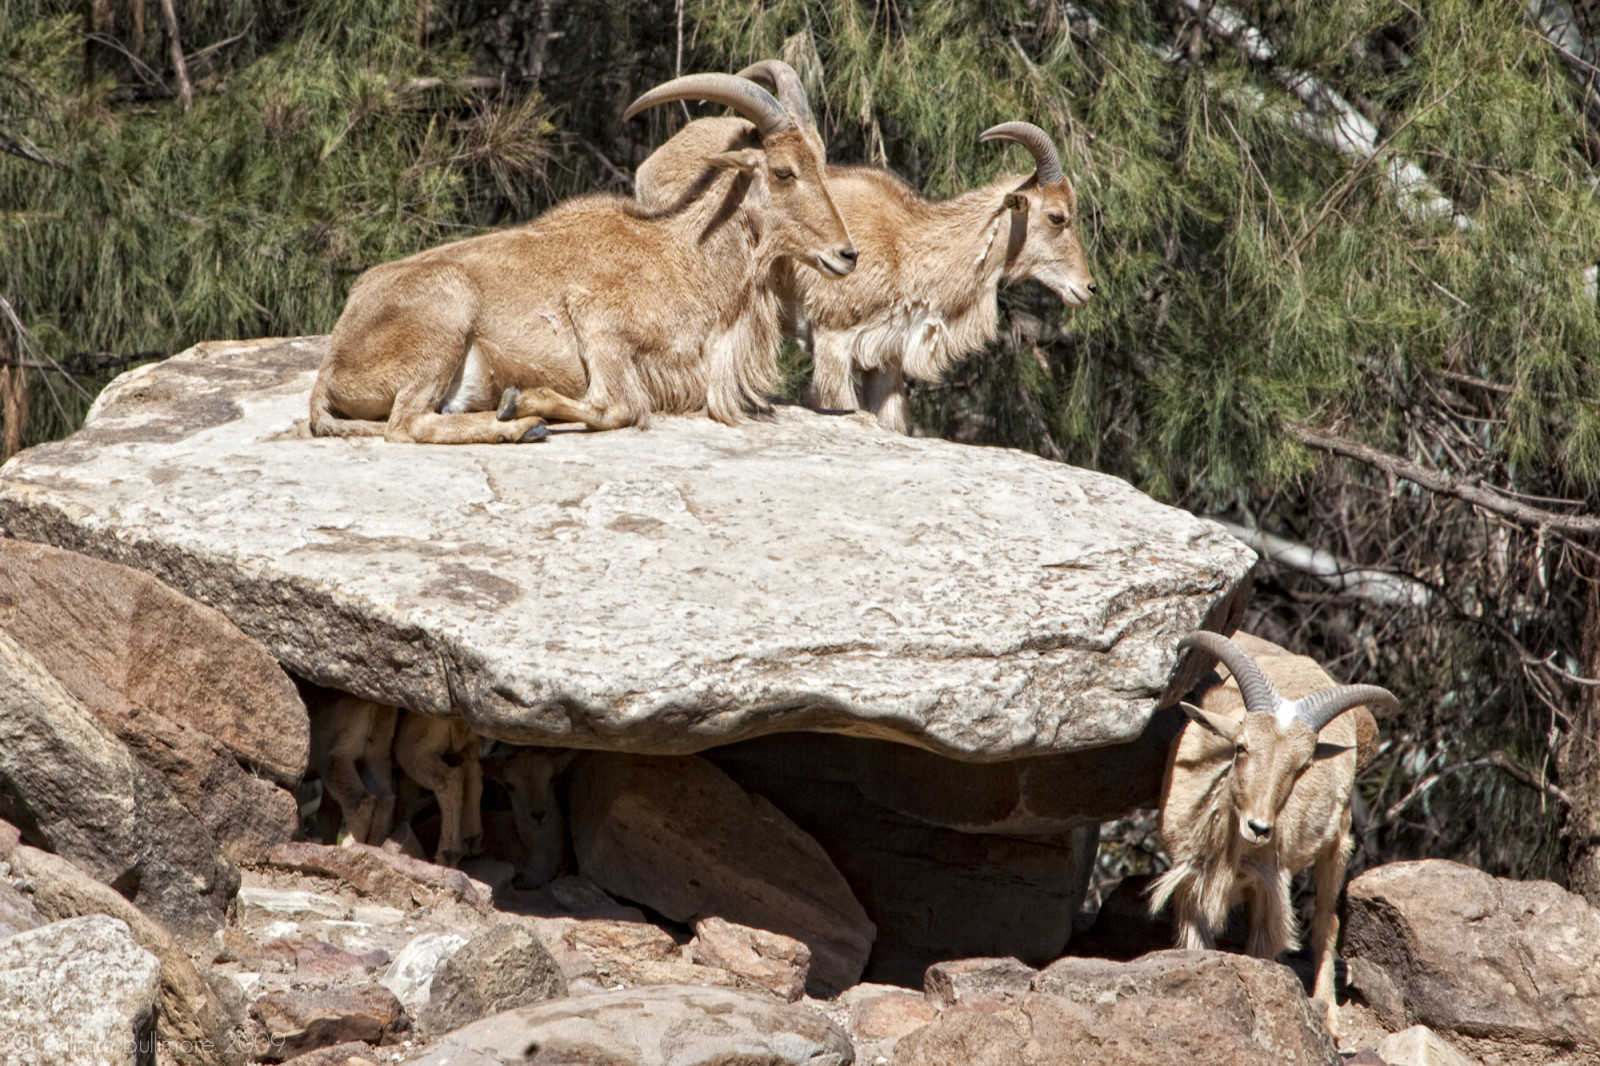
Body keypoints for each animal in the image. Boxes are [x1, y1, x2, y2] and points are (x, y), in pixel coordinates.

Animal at [308, 71, 856, 443]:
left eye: (822, 160)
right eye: (783, 171)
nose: (847, 254)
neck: (685, 256)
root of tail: (331, 367)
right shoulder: (598, 319)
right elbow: (619, 408)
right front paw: (526, 399)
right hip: (445, 317)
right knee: (408, 424)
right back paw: (521, 423)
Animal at [635, 62, 1095, 434]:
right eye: (1057, 216)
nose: (1088, 287)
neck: (909, 244)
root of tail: (654, 160)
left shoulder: (886, 359)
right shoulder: (833, 340)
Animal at [1148, 630, 1398, 1033]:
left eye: (1302, 766)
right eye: (1240, 746)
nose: (1259, 827)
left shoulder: (1270, 886)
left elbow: (1266, 949)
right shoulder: (1189, 885)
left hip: (1338, 840)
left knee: (1326, 922)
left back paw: (1328, 1014)